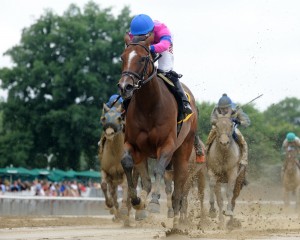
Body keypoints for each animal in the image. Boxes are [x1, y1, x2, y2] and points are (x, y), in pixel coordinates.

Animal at [118, 33, 199, 227]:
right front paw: (137, 202)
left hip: (184, 149)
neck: (149, 105)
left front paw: (154, 202)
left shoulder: (167, 145)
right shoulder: (134, 145)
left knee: (179, 186)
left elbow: (159, 171)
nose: (125, 87)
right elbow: (127, 164)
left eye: (142, 58)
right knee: (148, 181)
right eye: (122, 57)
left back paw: (177, 220)